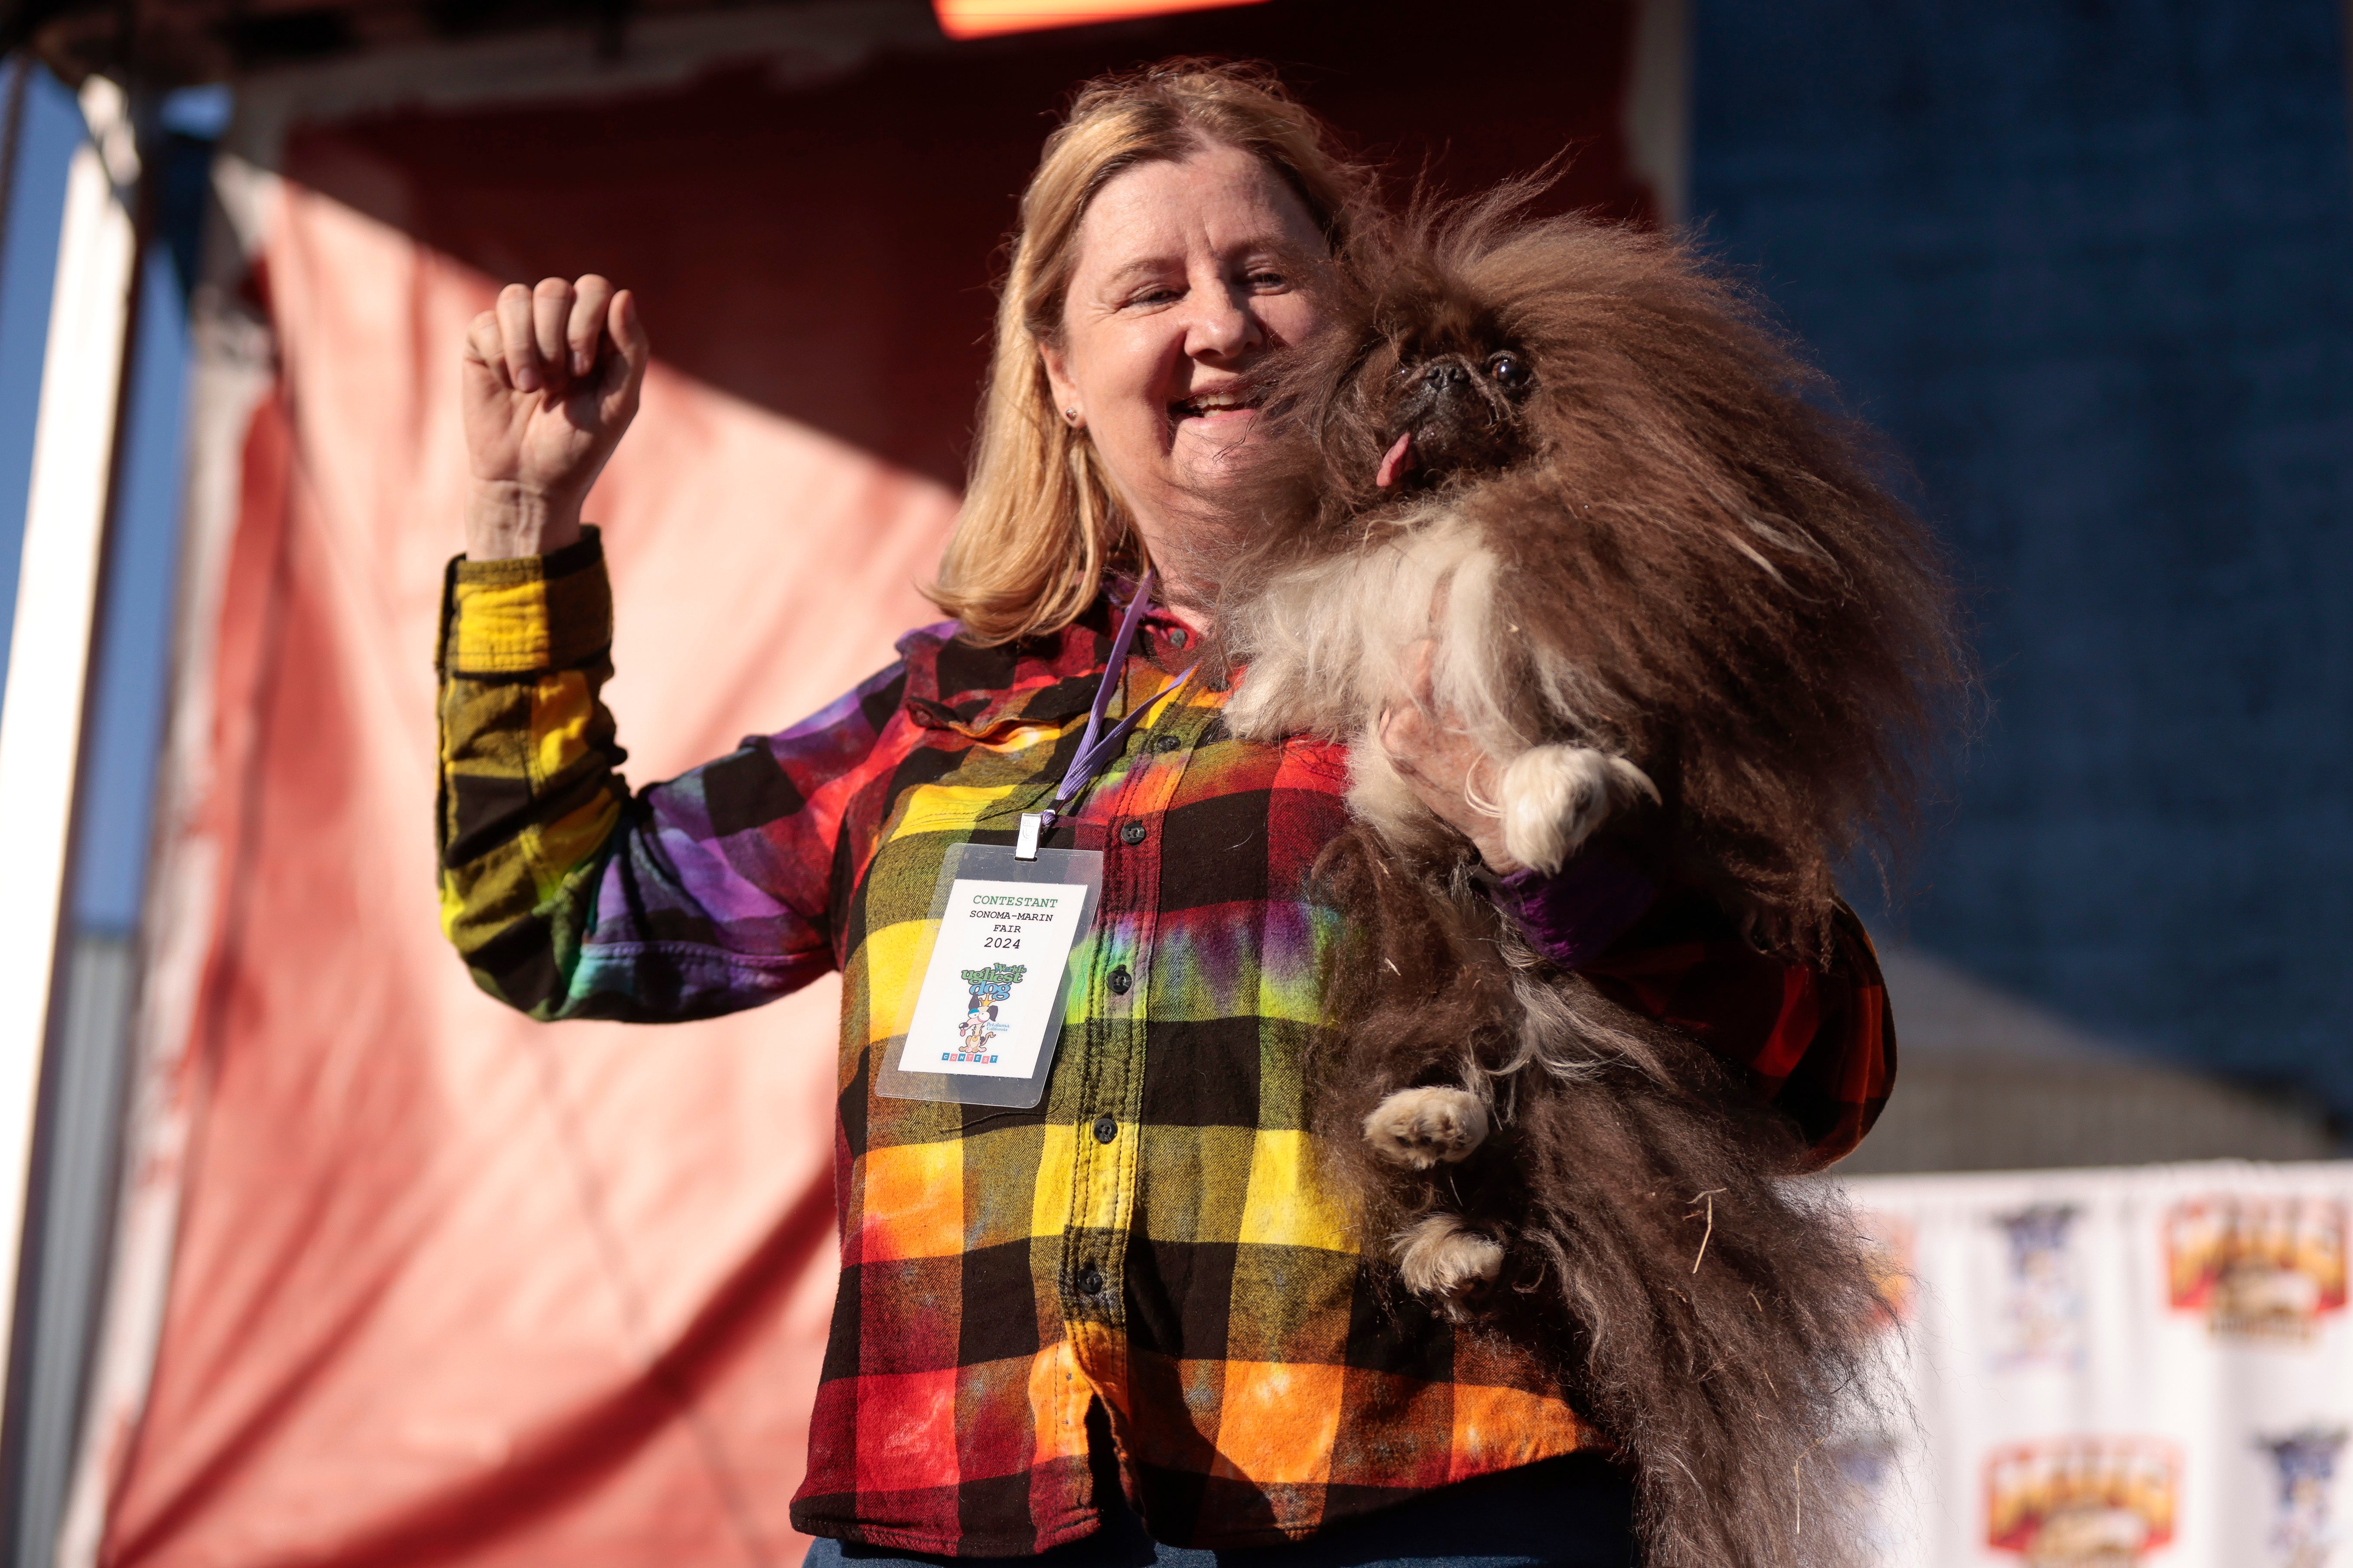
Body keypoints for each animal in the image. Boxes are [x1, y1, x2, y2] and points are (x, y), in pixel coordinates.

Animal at [1205, 192, 1958, 1568]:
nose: (1445, 377)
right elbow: (1314, 640)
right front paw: (1259, 701)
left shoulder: (1589, 641)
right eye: (1408, 366)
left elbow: (1552, 736)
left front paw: (1554, 805)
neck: (1468, 501)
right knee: (1436, 1142)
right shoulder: (1356, 602)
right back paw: (1440, 1189)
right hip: (1412, 960)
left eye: (1508, 371)